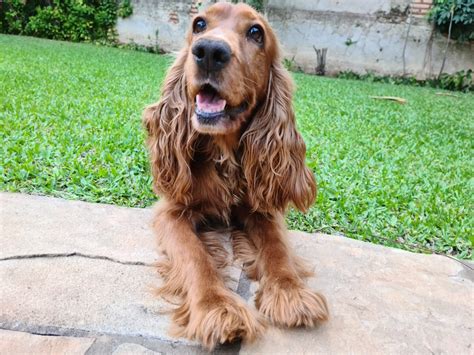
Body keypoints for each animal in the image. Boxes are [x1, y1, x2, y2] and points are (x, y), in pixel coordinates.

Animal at [143, 2, 330, 350]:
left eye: (256, 32)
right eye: (199, 24)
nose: (209, 51)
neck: (224, 155)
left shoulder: (262, 209)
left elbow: (277, 249)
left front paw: (290, 292)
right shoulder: (172, 212)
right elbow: (196, 257)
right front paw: (218, 308)